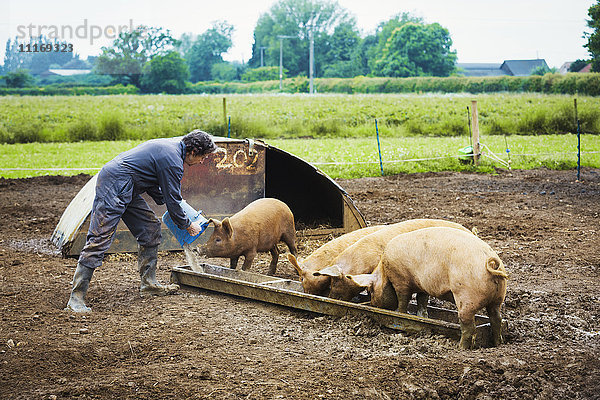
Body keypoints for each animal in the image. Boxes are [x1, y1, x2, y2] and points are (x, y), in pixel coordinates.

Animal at [346, 227, 506, 348]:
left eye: (370, 290)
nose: (373, 305)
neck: (385, 270)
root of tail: (490, 263)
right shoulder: (422, 285)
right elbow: (422, 300)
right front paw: (422, 316)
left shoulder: (401, 279)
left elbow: (403, 299)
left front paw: (399, 313)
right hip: (498, 298)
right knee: (496, 318)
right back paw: (498, 344)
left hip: (466, 298)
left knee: (469, 327)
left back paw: (461, 348)